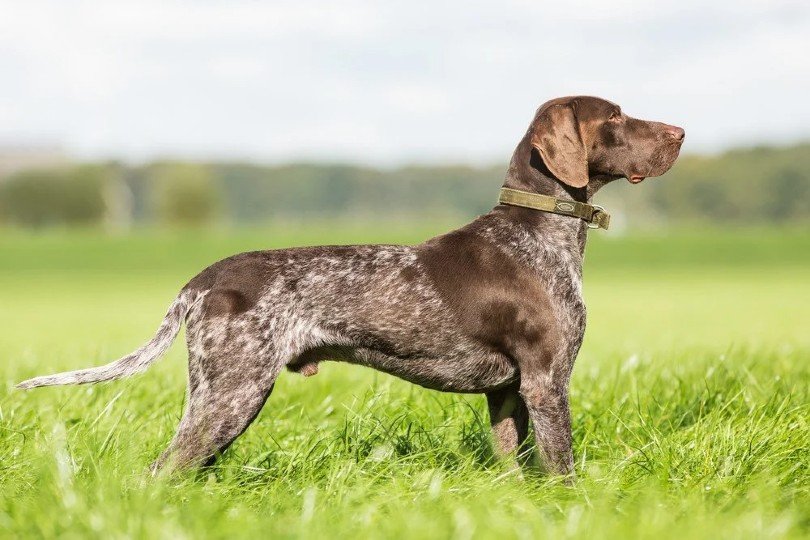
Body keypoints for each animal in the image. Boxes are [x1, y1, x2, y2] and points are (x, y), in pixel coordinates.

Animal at [15, 97, 680, 476]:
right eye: (614, 117)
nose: (679, 131)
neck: (539, 233)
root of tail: (202, 280)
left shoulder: (507, 393)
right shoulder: (546, 381)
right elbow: (563, 468)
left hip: (223, 397)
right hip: (232, 394)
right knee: (162, 472)